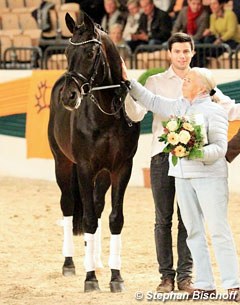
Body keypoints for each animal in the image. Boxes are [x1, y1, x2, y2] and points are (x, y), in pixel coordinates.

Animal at [47, 12, 140, 292]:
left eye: (90, 53)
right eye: (66, 52)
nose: (69, 96)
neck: (106, 113)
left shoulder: (121, 168)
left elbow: (114, 218)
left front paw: (116, 277)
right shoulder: (85, 168)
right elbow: (87, 219)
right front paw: (90, 279)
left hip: (103, 174)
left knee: (97, 208)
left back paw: (96, 260)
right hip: (63, 163)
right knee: (68, 205)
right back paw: (70, 263)